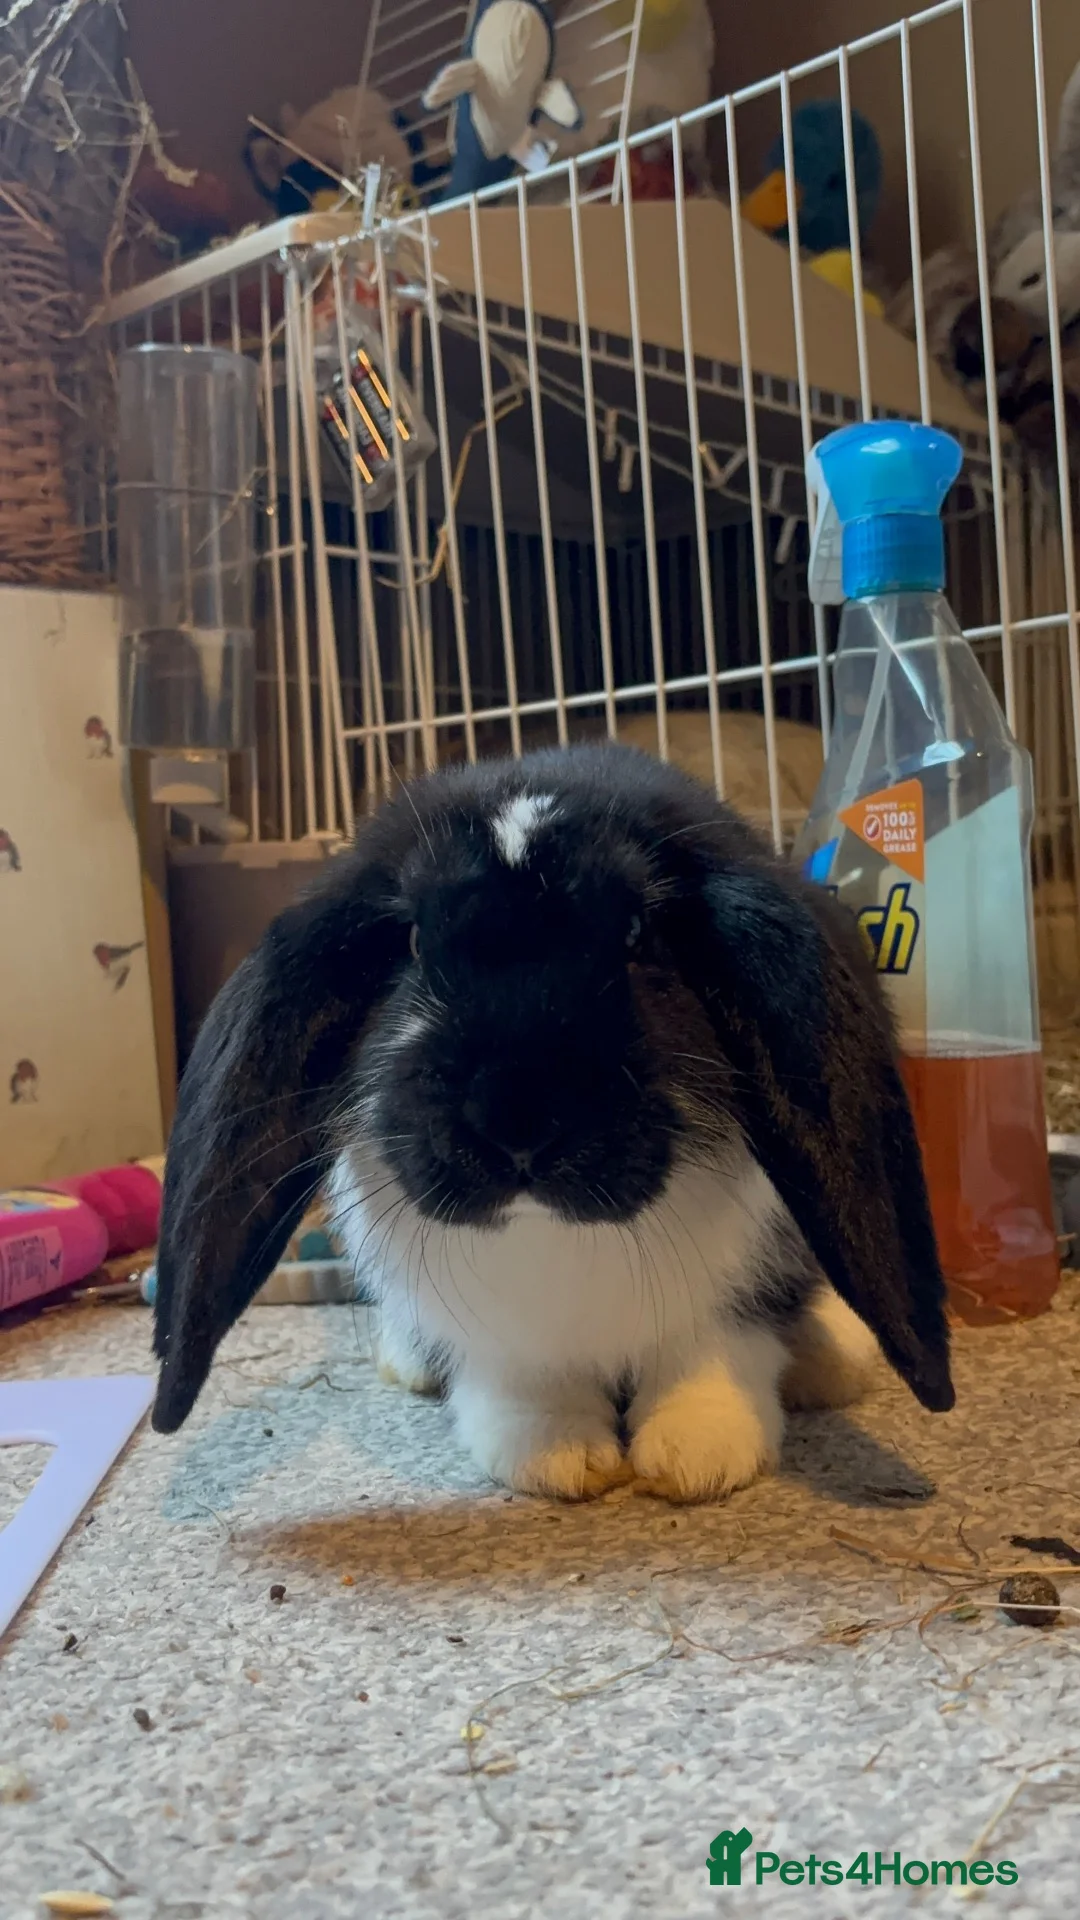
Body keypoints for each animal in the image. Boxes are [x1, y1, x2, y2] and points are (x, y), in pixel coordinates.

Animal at [150, 744, 953, 1502]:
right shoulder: (506, 1340)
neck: (551, 1233)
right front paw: (561, 1457)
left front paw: (697, 1451)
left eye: (637, 933)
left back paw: (833, 1358)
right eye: (411, 942)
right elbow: (527, 1385)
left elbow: (715, 1346)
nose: (518, 1122)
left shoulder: (738, 1281)